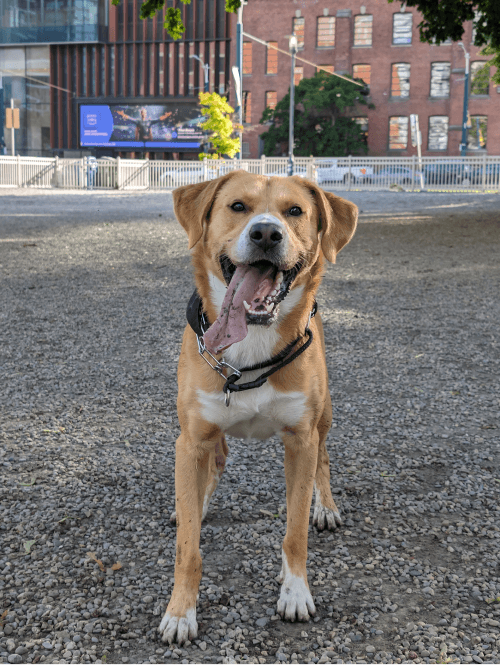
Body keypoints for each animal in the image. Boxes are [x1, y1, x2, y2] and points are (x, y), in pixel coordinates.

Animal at [158, 171, 358, 644]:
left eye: (295, 211)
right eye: (237, 207)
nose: (266, 233)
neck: (250, 347)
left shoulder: (300, 440)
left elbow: (295, 531)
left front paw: (296, 591)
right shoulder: (191, 440)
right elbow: (188, 547)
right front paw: (180, 611)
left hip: (324, 418)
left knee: (325, 459)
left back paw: (326, 506)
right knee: (215, 464)